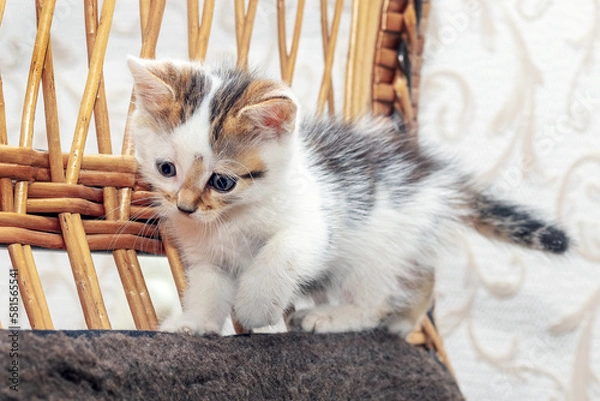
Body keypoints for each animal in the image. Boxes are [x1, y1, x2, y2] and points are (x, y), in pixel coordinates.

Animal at [126, 57, 568, 338]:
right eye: (166, 169)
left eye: (222, 182)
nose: (184, 207)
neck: (230, 219)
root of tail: (432, 174)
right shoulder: (207, 256)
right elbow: (207, 287)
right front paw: (194, 323)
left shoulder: (315, 225)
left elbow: (279, 255)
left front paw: (255, 307)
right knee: (422, 277)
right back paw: (404, 319)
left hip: (378, 248)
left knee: (377, 295)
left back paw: (338, 317)